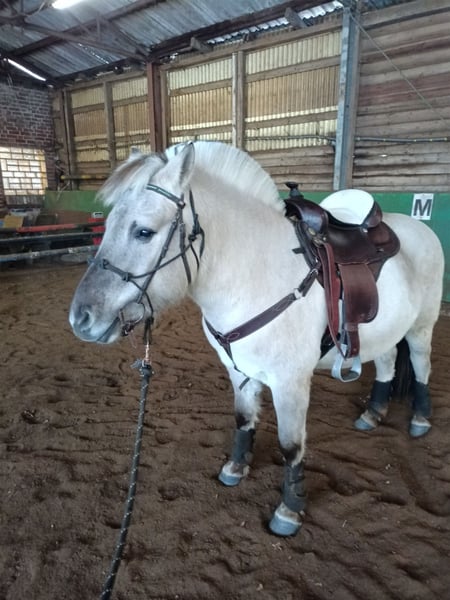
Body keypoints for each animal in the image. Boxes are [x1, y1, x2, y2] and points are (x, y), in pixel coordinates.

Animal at [69, 141, 444, 537]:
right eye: (106, 226)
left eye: (143, 232)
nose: (81, 318)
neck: (256, 276)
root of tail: (416, 229)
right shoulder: (239, 370)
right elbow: (244, 419)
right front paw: (236, 469)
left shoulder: (290, 383)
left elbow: (291, 446)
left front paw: (289, 510)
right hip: (387, 331)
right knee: (387, 364)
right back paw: (373, 413)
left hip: (421, 328)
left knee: (421, 366)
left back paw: (420, 420)